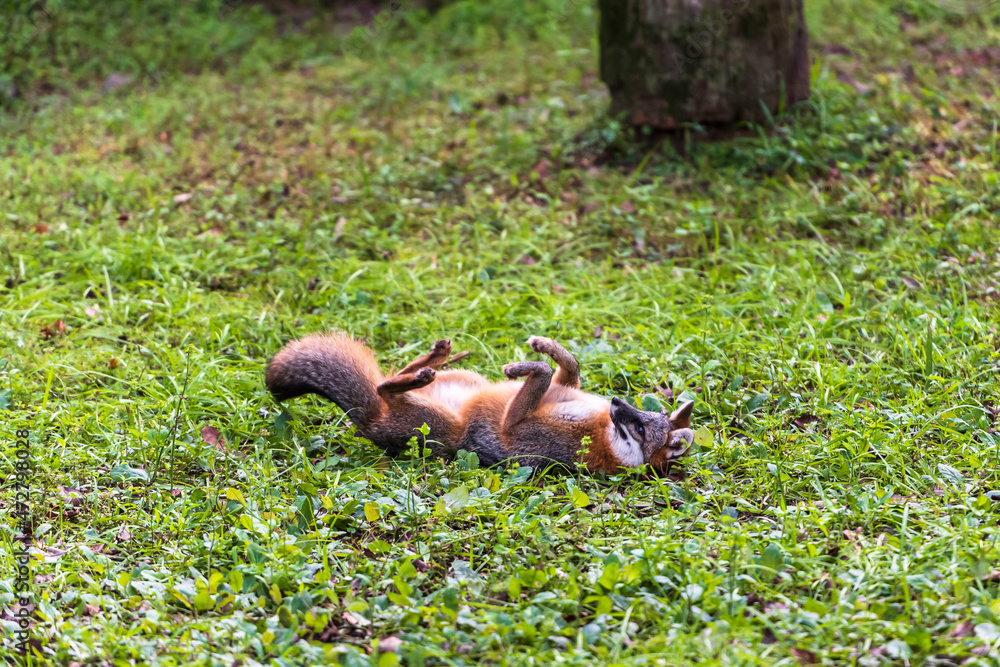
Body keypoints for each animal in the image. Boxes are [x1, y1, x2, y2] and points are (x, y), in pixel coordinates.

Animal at [265, 333, 695, 474]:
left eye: (638, 426)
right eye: (646, 414)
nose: (616, 400)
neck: (599, 431)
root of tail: (369, 423)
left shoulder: (516, 429)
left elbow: (542, 372)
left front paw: (525, 363)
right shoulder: (564, 388)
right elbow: (569, 363)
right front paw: (544, 345)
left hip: (444, 425)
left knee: (384, 387)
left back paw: (419, 375)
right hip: (465, 381)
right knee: (388, 377)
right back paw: (433, 358)